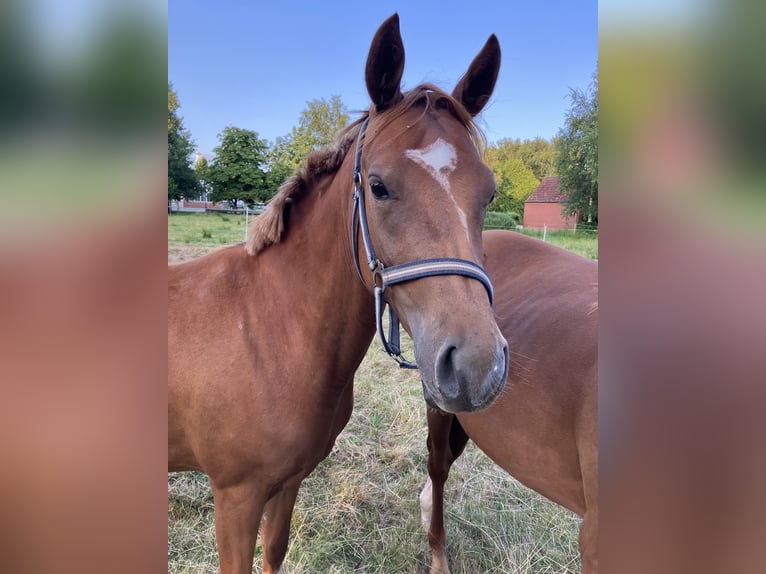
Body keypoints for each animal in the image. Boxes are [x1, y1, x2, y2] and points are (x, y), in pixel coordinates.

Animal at [171, 14, 512, 574]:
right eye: (377, 186)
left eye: (489, 193)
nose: (477, 366)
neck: (268, 330)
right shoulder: (235, 496)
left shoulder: (286, 484)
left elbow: (275, 552)